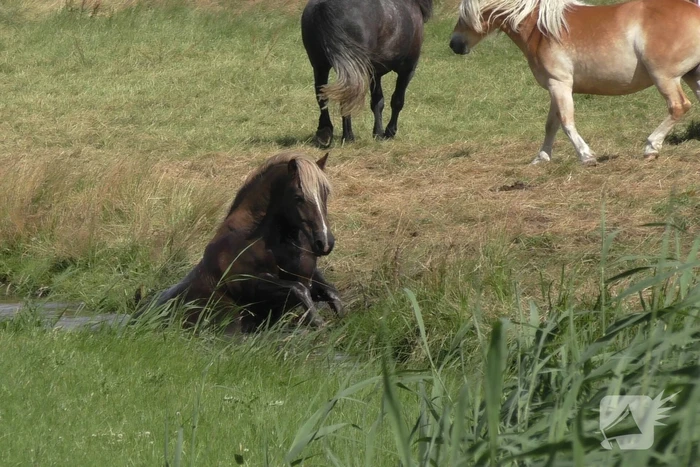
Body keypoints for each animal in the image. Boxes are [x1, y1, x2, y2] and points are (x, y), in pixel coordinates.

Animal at [136, 152, 342, 333]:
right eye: (298, 197)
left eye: (325, 194)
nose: (325, 242)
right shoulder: (249, 283)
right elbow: (298, 289)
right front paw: (318, 322)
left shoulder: (308, 275)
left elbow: (330, 291)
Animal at [301, 0, 433, 148]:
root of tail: (325, 5)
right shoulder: (408, 70)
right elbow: (397, 101)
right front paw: (389, 132)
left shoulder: (375, 73)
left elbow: (377, 101)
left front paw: (378, 133)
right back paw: (348, 136)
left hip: (320, 66)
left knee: (322, 95)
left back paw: (325, 133)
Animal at [449, 0, 700, 165]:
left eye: (463, 14)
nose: (454, 44)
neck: (541, 30)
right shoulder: (555, 87)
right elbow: (551, 124)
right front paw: (541, 159)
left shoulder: (559, 84)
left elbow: (566, 122)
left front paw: (586, 156)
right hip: (692, 75)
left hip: (664, 77)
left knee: (679, 106)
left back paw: (650, 147)